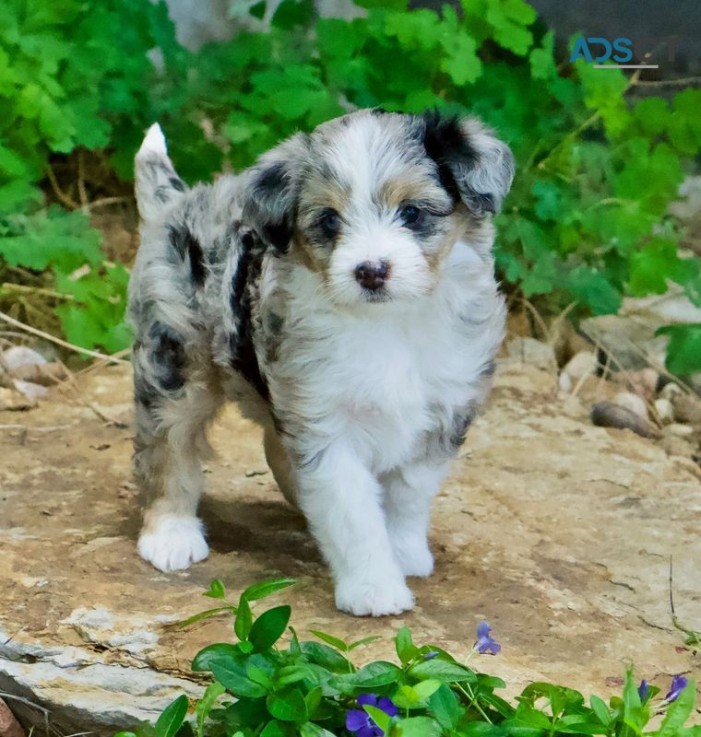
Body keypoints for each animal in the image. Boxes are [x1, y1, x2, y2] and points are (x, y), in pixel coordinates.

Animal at [131, 109, 512, 616]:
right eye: (330, 220)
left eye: (412, 212)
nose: (371, 271)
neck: (388, 323)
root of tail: (178, 201)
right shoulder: (327, 425)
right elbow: (352, 511)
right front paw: (373, 588)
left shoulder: (443, 413)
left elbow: (409, 496)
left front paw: (404, 553)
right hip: (176, 361)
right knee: (167, 444)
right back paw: (170, 533)